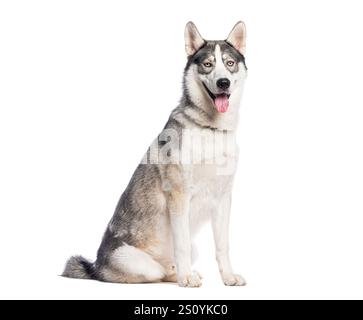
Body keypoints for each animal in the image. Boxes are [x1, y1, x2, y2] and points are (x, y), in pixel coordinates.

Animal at [64, 22, 249, 288]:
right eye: (208, 64)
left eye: (229, 63)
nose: (223, 82)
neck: (210, 129)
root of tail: (95, 267)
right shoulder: (179, 195)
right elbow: (181, 245)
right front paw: (187, 279)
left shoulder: (223, 198)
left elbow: (223, 245)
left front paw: (228, 277)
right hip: (136, 262)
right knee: (158, 271)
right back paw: (182, 275)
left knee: (169, 267)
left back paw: (181, 273)